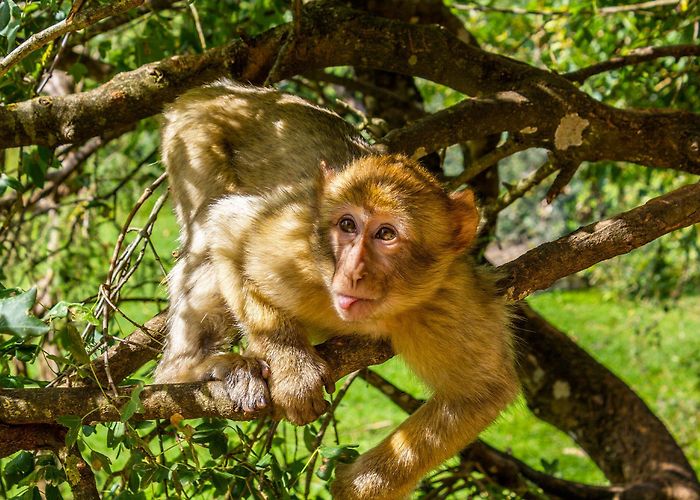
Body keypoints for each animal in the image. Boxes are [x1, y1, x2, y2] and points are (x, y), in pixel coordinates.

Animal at [155, 80, 518, 499]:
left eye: (386, 233)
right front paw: (293, 370)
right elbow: (229, 229)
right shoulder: (295, 246)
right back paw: (189, 369)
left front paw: (362, 486)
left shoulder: (449, 301)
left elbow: (480, 392)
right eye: (347, 224)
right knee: (205, 237)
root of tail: (225, 89)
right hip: (193, 140)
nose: (352, 271)